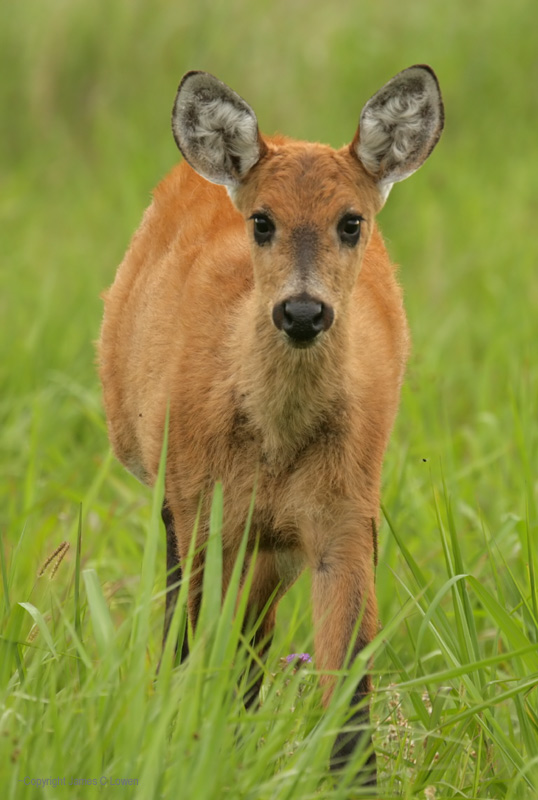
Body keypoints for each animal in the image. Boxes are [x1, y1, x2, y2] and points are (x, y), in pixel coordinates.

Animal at [98, 64, 442, 788]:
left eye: (351, 222)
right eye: (262, 221)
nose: (303, 311)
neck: (276, 446)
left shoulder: (346, 518)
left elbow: (350, 696)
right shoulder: (198, 511)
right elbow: (190, 658)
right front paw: (187, 759)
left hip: (271, 546)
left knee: (251, 650)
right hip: (182, 506)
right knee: (204, 646)